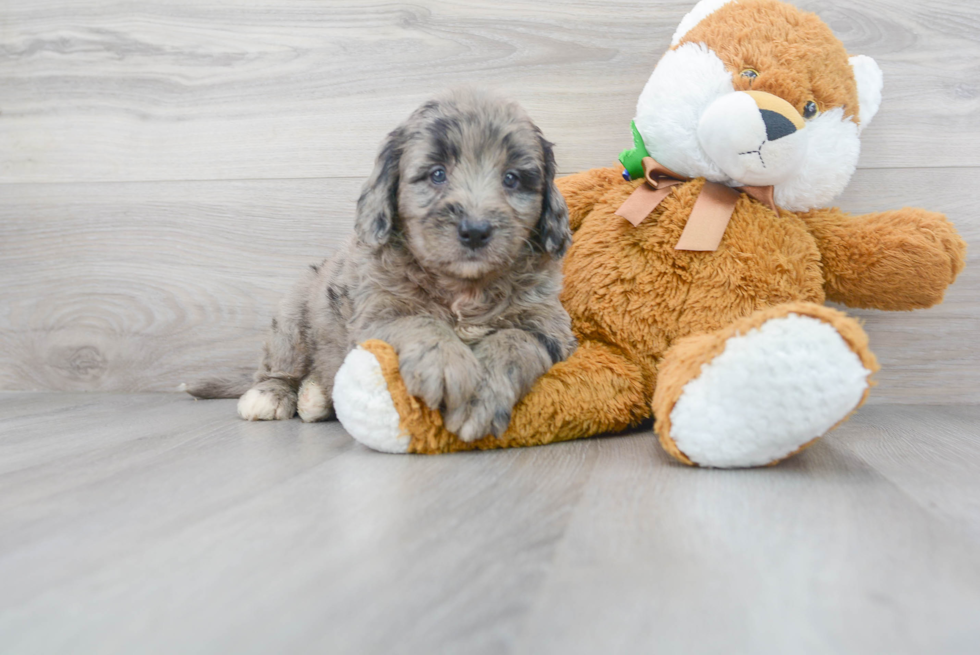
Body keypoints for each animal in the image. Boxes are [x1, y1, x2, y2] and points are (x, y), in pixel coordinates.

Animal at [186, 87, 576, 444]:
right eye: (437, 174)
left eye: (512, 178)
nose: (476, 231)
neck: (463, 288)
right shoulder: (376, 313)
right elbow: (418, 321)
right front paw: (444, 362)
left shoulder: (550, 326)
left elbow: (514, 341)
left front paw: (481, 397)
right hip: (290, 320)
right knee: (278, 367)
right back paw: (270, 395)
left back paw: (316, 397)